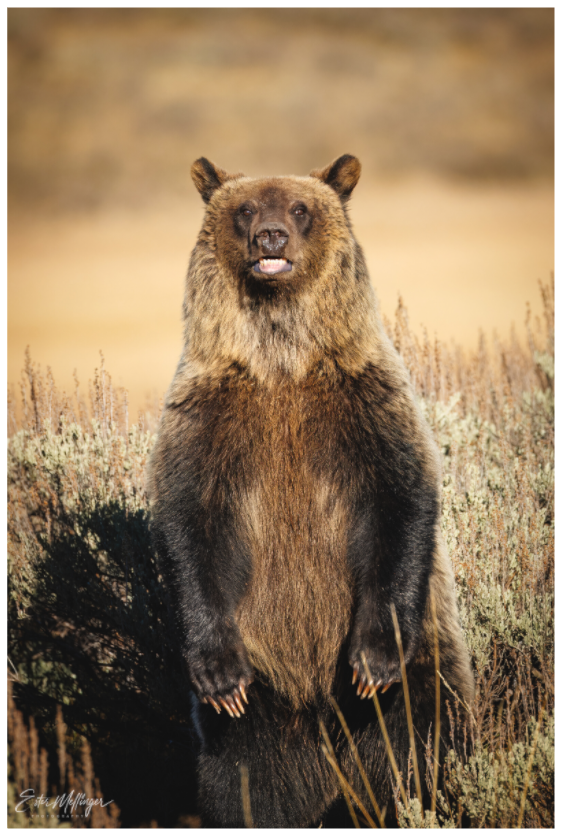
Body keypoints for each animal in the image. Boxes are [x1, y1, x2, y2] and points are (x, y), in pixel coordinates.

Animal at [147, 154, 474, 827]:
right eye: (245, 208)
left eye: (300, 209)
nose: (270, 237)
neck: (283, 358)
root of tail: (318, 720)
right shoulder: (209, 414)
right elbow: (189, 522)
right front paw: (218, 675)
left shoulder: (364, 398)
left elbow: (401, 496)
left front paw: (373, 661)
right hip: (265, 700)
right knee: (246, 777)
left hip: (424, 668)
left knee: (415, 744)